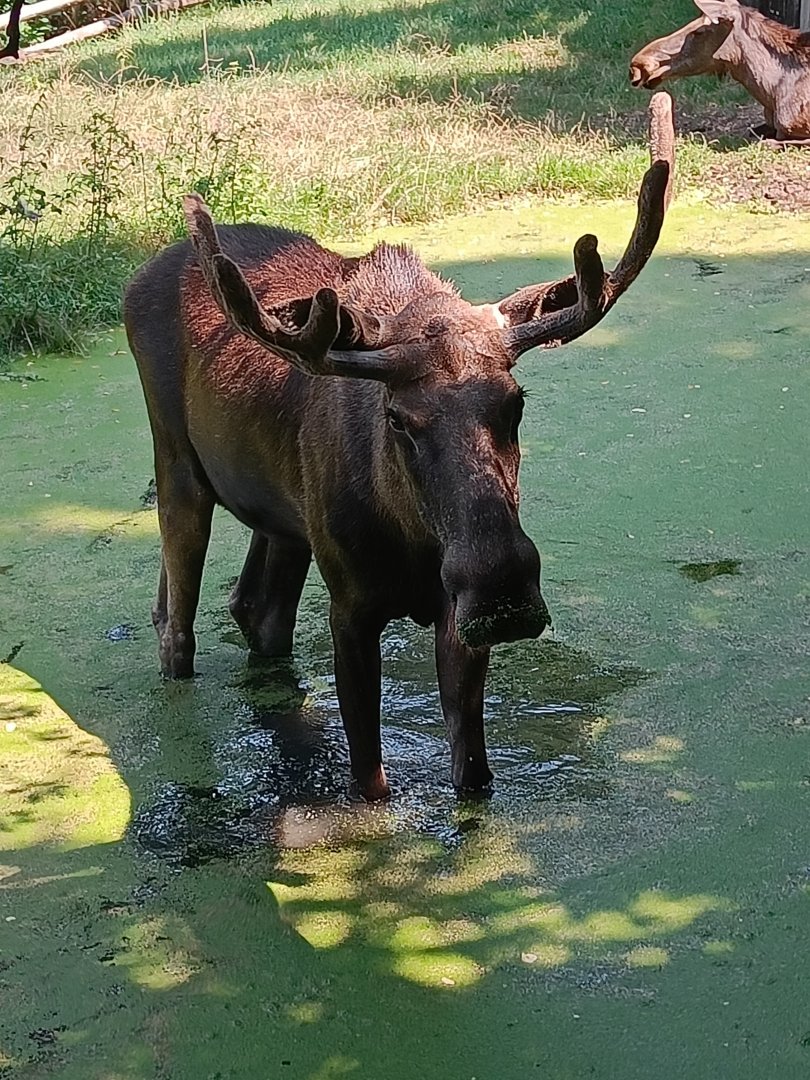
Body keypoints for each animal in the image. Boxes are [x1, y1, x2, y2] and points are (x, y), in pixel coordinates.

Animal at [123, 93, 675, 802]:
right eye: (398, 419)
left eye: (516, 402)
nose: (501, 584)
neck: (411, 540)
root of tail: (137, 278)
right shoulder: (351, 607)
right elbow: (371, 780)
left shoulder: (454, 615)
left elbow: (474, 774)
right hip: (175, 463)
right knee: (178, 624)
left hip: (282, 516)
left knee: (254, 609)